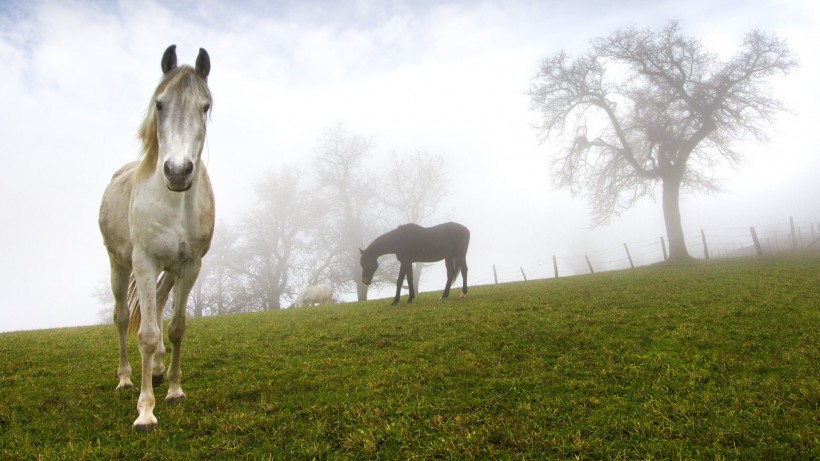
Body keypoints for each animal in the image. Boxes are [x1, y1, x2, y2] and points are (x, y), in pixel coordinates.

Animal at [98, 45, 215, 434]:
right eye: (160, 104)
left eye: (205, 106)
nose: (178, 171)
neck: (174, 201)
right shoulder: (145, 263)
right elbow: (147, 334)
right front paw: (145, 411)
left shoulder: (190, 266)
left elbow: (177, 327)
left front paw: (175, 390)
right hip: (119, 266)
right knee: (122, 318)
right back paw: (125, 379)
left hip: (170, 270)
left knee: (161, 302)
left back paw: (160, 370)